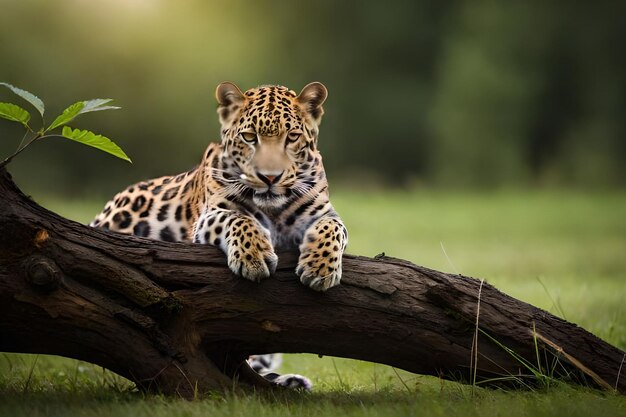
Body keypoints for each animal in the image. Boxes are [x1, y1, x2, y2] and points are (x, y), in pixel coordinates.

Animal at [91, 81, 348, 390]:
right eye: (249, 137)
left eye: (293, 137)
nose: (270, 178)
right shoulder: (210, 215)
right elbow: (238, 219)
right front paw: (254, 258)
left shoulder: (324, 213)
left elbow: (333, 229)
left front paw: (320, 269)